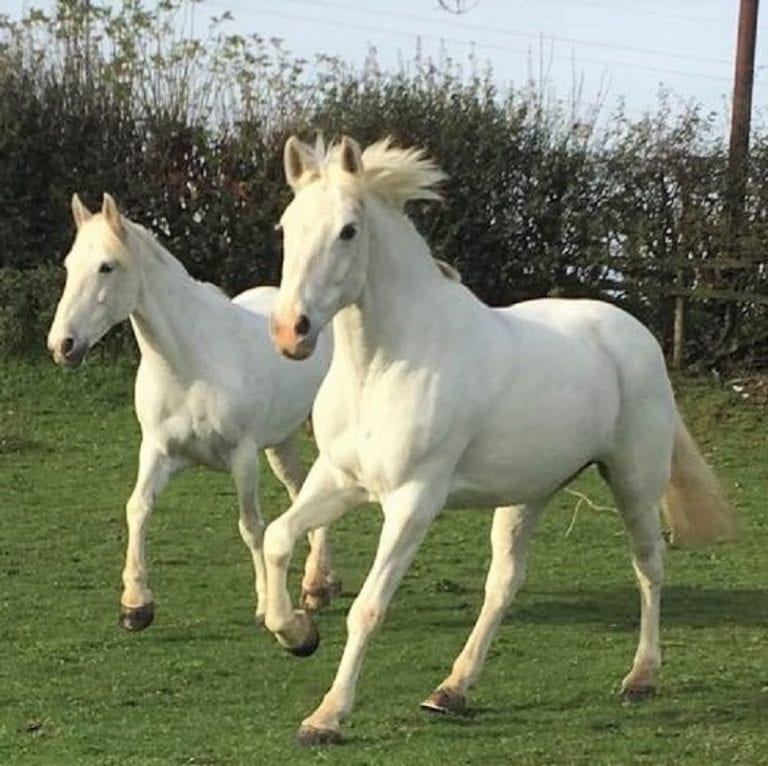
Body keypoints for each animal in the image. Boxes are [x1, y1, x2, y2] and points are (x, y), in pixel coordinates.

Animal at [47, 193, 339, 632]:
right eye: (69, 266)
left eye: (106, 266)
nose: (62, 345)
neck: (190, 365)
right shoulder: (157, 452)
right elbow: (137, 509)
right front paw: (136, 604)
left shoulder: (242, 458)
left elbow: (251, 526)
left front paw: (264, 603)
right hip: (281, 441)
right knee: (300, 490)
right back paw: (319, 584)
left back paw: (317, 584)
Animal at [260, 135, 739, 745]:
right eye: (286, 226)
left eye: (348, 230)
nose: (290, 332)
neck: (386, 363)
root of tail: (635, 334)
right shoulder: (339, 480)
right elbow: (277, 536)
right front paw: (297, 633)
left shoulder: (413, 502)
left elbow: (367, 608)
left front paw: (326, 717)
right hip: (526, 494)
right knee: (504, 584)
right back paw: (451, 691)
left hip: (633, 480)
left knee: (649, 565)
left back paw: (641, 678)